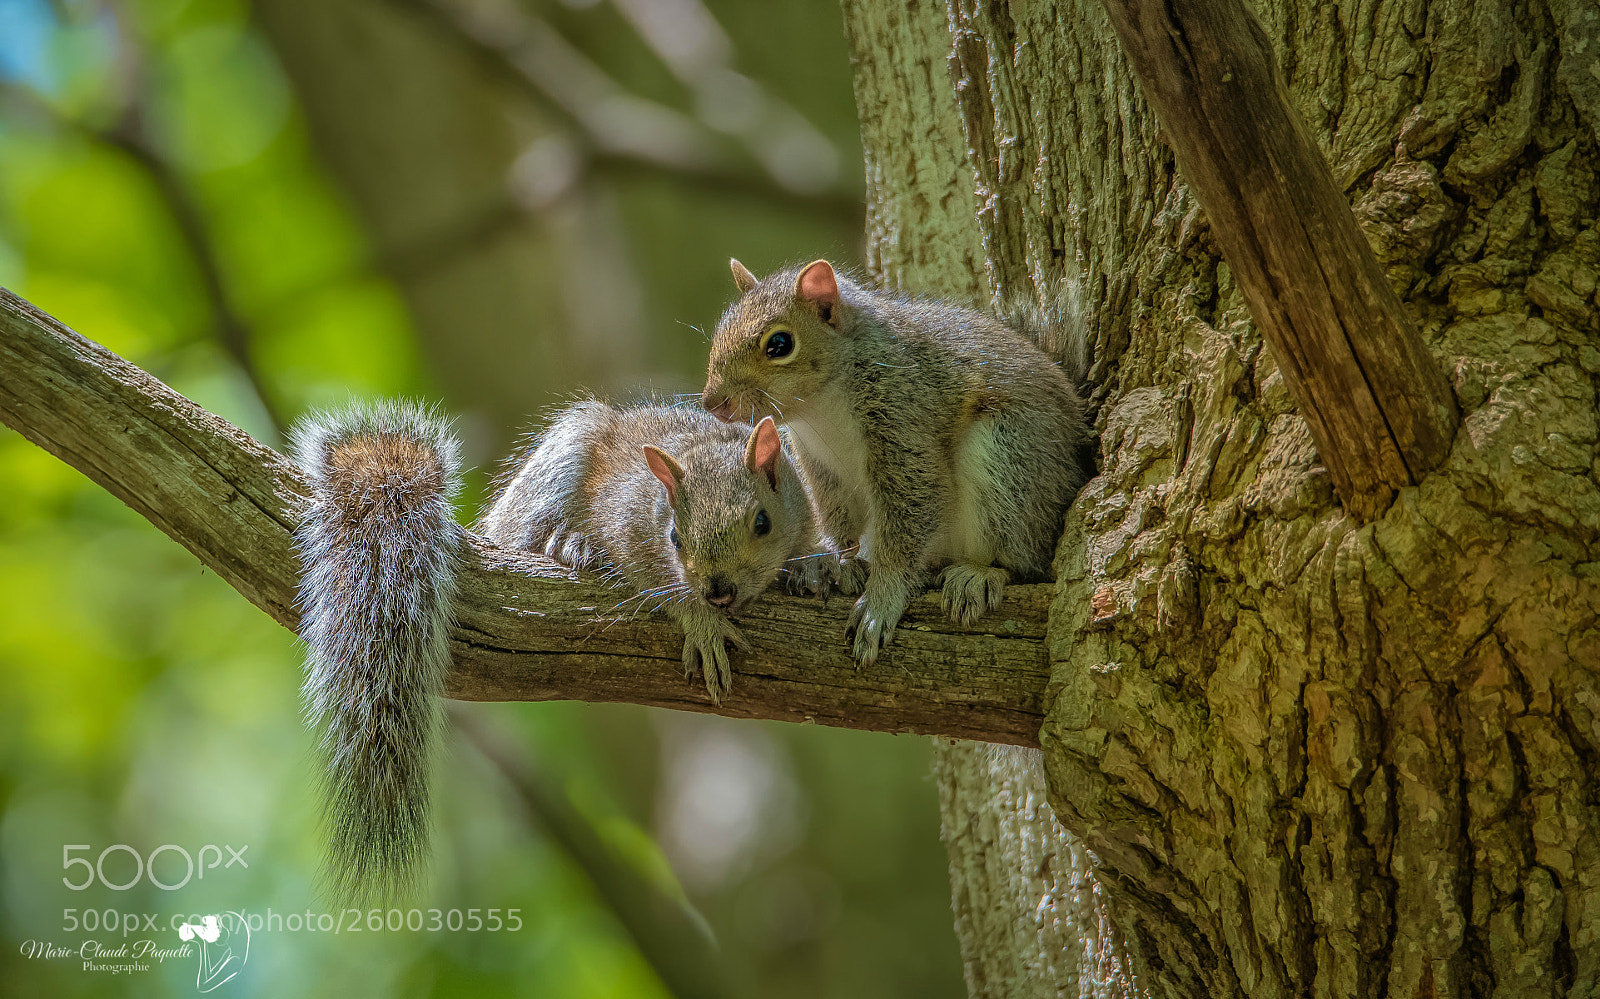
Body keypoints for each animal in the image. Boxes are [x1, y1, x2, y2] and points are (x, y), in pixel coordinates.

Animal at [479, 400, 829, 703]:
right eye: (674, 538)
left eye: (762, 522)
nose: (719, 594)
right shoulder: (625, 525)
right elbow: (656, 581)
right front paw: (704, 623)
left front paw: (812, 566)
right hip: (558, 465)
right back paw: (569, 543)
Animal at [700, 258, 1092, 666]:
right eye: (722, 329)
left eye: (780, 344)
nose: (713, 402)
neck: (820, 409)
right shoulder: (822, 466)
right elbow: (836, 516)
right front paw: (831, 560)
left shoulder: (903, 418)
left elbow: (912, 511)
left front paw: (881, 599)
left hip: (1008, 461)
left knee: (1026, 561)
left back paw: (980, 574)